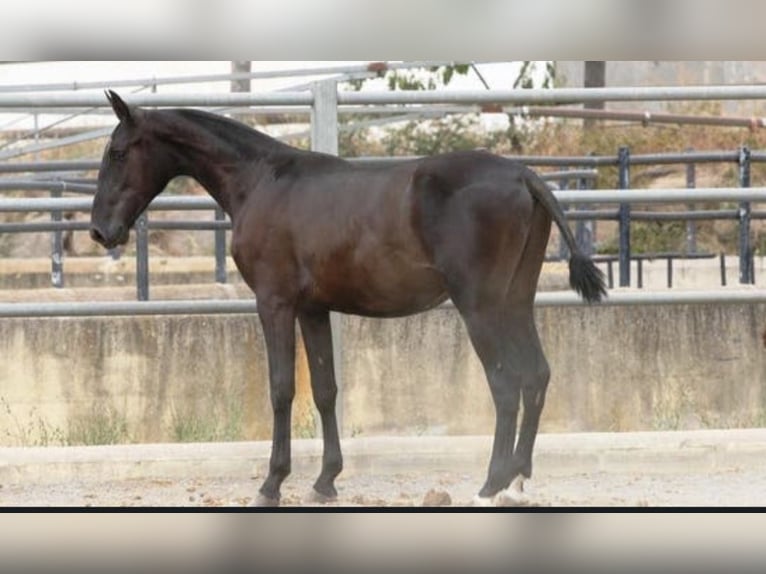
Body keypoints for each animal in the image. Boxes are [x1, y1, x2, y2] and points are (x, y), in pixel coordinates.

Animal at [90, 90, 606, 506]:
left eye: (118, 151)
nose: (99, 231)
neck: (261, 181)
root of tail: (523, 177)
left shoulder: (275, 303)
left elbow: (282, 389)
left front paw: (272, 484)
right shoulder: (314, 309)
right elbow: (325, 390)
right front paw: (325, 481)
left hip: (481, 308)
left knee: (505, 383)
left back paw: (491, 484)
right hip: (516, 302)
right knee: (536, 375)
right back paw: (517, 482)